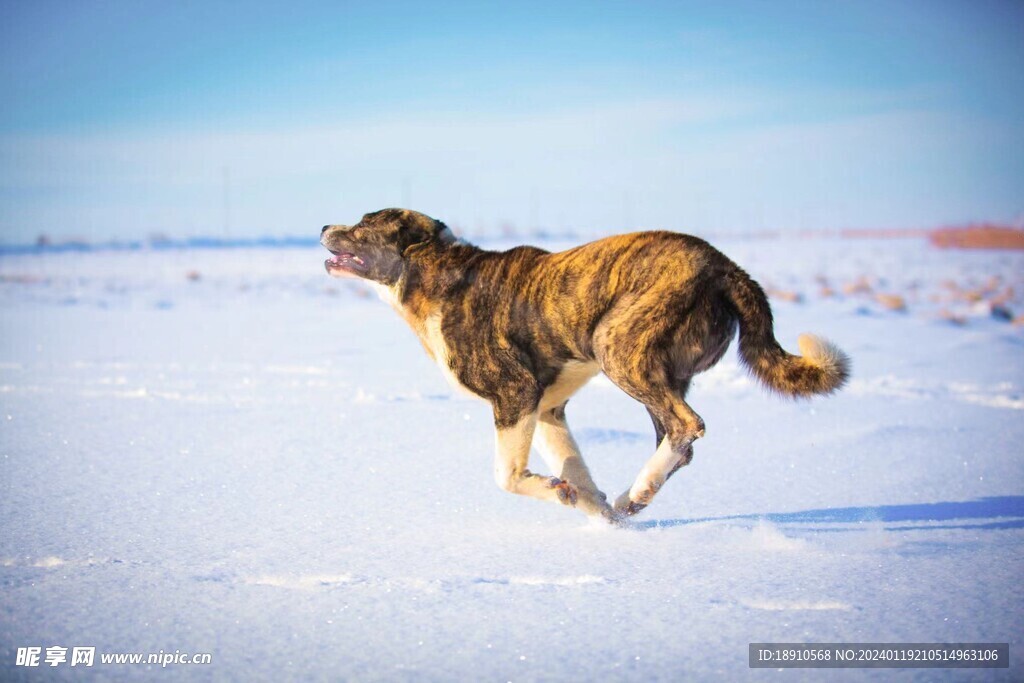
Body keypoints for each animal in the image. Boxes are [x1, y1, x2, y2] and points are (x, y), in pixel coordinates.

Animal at [323, 210, 851, 520]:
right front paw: (590, 507)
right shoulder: (547, 407)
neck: (439, 277)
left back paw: (640, 490)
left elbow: (507, 475)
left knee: (688, 425)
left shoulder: (515, 394)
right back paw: (629, 500)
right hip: (658, 371)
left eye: (365, 222)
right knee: (678, 441)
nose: (324, 226)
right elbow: (573, 467)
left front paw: (559, 495)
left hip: (618, 347)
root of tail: (726, 267)